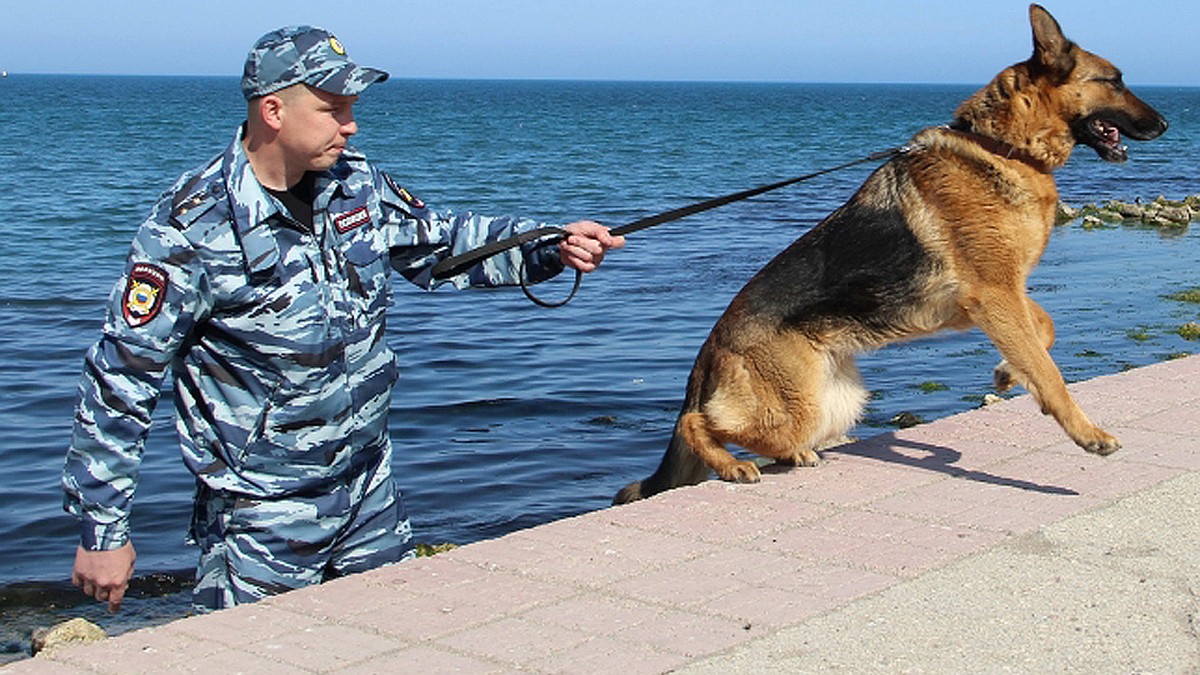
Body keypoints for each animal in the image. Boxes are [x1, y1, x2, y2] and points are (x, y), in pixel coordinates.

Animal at [614, 3, 1166, 499]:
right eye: (1114, 80)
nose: (1165, 125)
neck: (1003, 147)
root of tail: (711, 346)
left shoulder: (1001, 296)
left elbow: (1044, 331)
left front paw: (1008, 372)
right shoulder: (994, 297)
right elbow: (1050, 373)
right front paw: (1088, 433)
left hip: (834, 404)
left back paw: (787, 456)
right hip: (795, 409)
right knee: (695, 423)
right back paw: (732, 466)